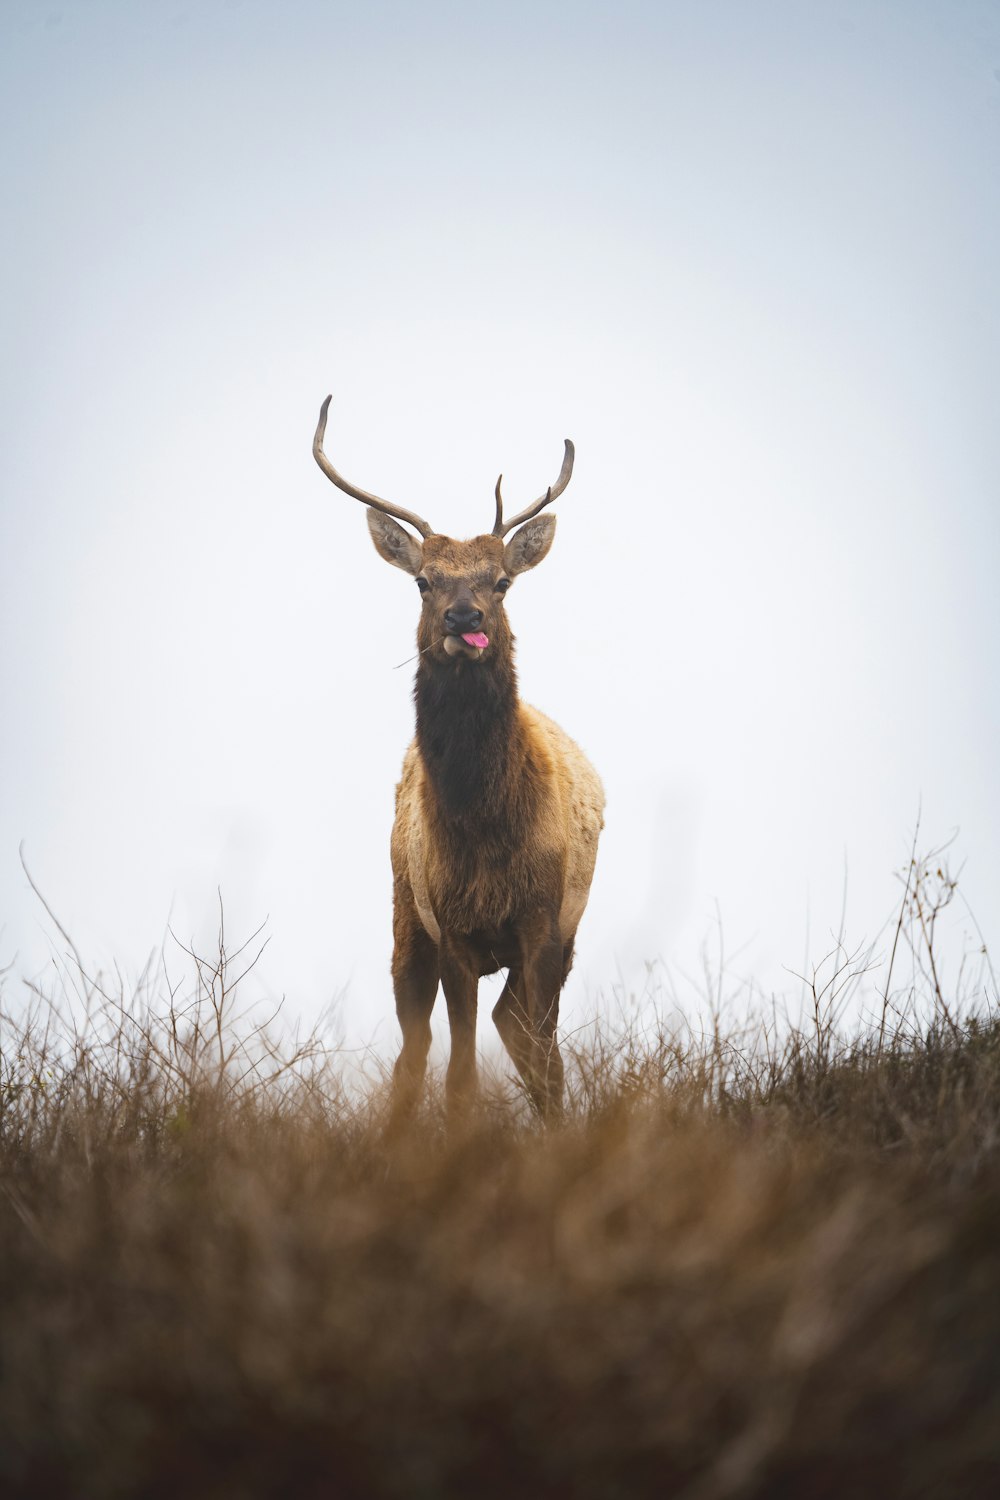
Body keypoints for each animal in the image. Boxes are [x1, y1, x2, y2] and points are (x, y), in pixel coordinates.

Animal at [313, 393, 605, 1122]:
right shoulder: (449, 928)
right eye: (423, 581)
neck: (486, 831)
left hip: (561, 937)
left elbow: (544, 1057)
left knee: (522, 1034)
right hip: (402, 917)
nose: (464, 618)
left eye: (501, 582)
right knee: (415, 1052)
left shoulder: (544, 921)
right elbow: (460, 1075)